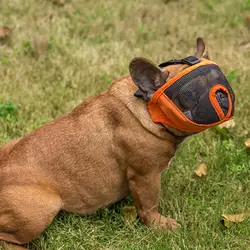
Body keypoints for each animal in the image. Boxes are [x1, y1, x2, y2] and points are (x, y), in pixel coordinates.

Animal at [0, 38, 234, 249]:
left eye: (221, 79)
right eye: (189, 94)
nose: (221, 94)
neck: (148, 109)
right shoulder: (145, 175)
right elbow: (149, 205)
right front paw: (159, 224)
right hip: (42, 208)